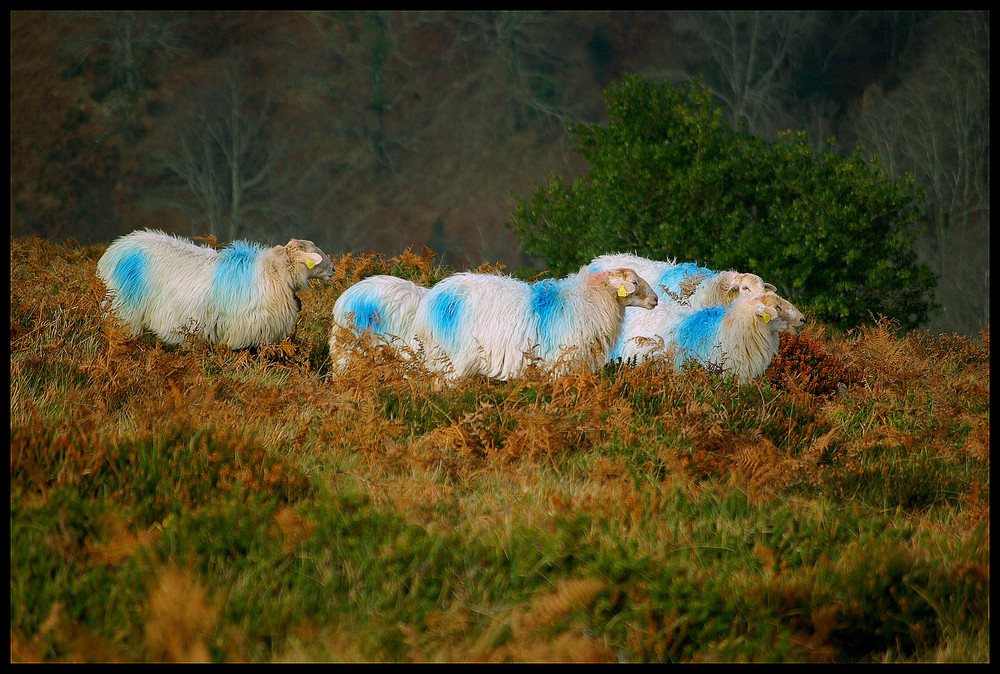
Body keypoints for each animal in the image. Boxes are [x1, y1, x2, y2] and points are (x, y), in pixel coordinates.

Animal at [95, 230, 334, 350]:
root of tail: (114, 250)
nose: (333, 269)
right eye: (315, 253)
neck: (275, 273)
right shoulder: (242, 331)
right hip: (124, 309)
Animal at [410, 266, 660, 380]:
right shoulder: (559, 363)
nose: (656, 299)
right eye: (634, 283)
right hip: (453, 360)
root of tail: (432, 299)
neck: (589, 300)